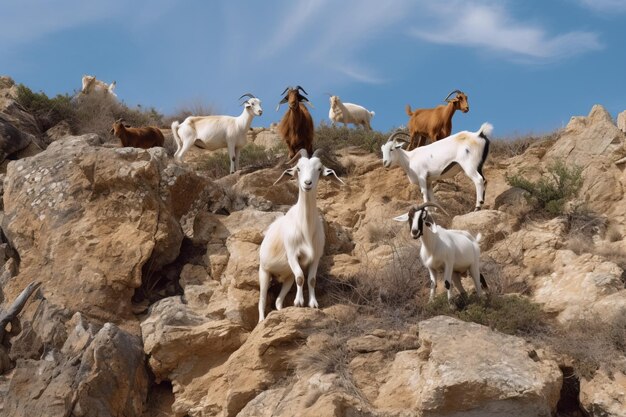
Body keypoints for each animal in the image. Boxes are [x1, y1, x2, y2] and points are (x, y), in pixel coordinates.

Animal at [258, 150, 346, 322]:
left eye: (319, 169)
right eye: (298, 168)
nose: (307, 183)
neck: (305, 228)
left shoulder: (316, 257)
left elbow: (311, 280)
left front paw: (313, 303)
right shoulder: (293, 255)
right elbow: (300, 277)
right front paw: (299, 302)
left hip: (287, 277)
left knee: (278, 300)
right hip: (264, 272)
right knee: (262, 300)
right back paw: (262, 321)